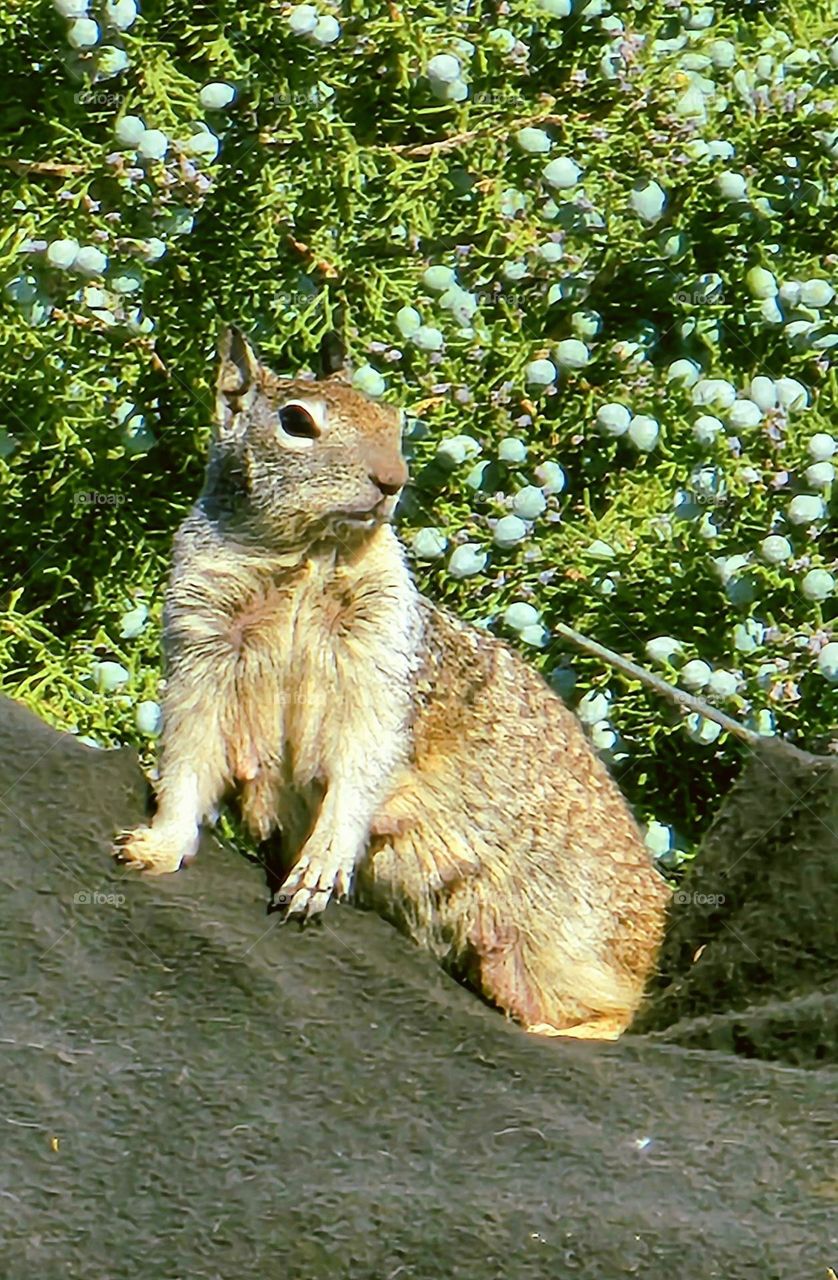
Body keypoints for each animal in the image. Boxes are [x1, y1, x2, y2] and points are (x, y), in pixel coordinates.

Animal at [115, 327, 670, 1040]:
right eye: (296, 422)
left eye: (392, 419)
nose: (394, 480)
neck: (306, 556)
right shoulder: (201, 652)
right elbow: (189, 759)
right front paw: (156, 846)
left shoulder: (379, 664)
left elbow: (364, 761)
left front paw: (321, 862)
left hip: (566, 939)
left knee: (617, 1012)